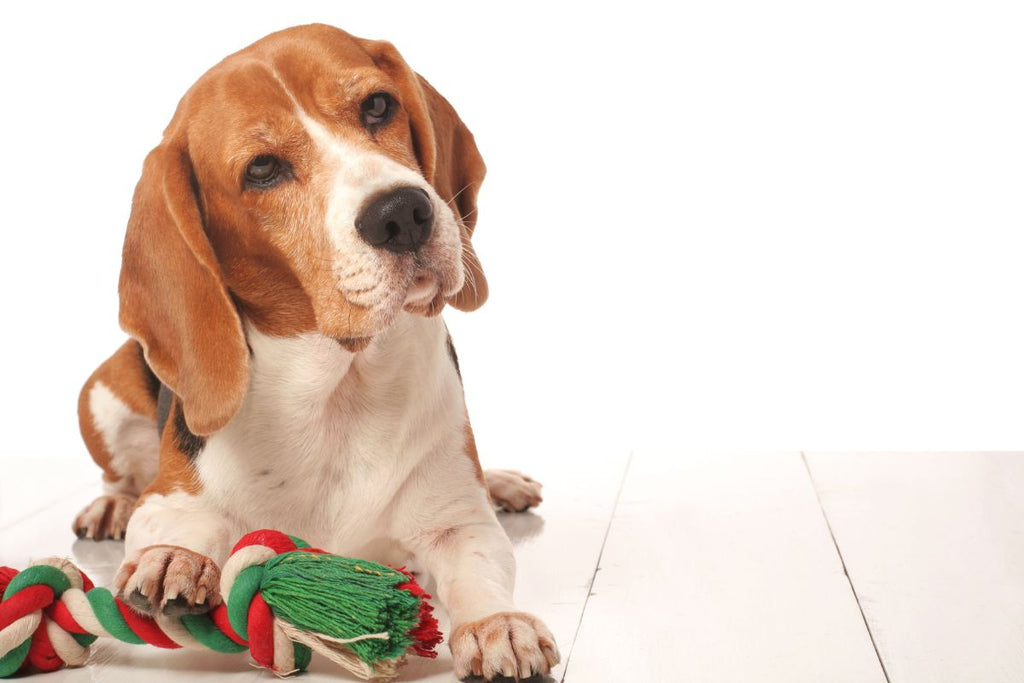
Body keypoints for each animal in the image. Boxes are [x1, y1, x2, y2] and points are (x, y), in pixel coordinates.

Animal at [73, 24, 561, 679]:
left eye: (377, 105)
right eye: (262, 170)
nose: (403, 213)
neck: (338, 389)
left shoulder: (459, 521)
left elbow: (477, 567)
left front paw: (497, 624)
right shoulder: (171, 495)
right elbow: (174, 525)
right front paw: (173, 559)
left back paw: (504, 481)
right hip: (102, 394)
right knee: (122, 474)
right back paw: (110, 507)